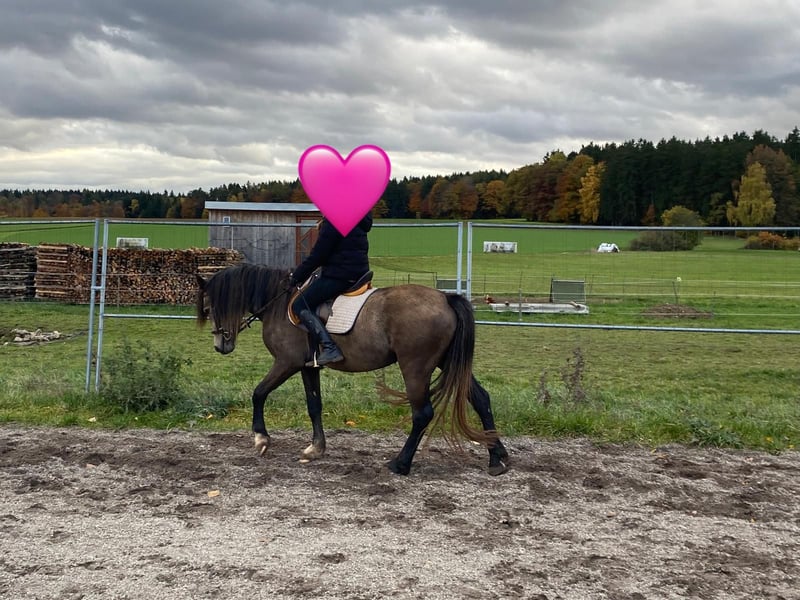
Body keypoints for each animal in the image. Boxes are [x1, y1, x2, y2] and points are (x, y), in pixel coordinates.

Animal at [195, 263, 509, 476]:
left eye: (210, 308)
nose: (220, 345)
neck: (279, 302)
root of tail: (445, 298)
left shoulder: (286, 363)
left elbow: (258, 393)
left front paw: (261, 438)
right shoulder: (309, 367)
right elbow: (314, 405)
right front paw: (315, 448)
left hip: (415, 367)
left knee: (422, 414)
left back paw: (401, 463)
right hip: (446, 361)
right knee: (480, 398)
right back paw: (497, 458)